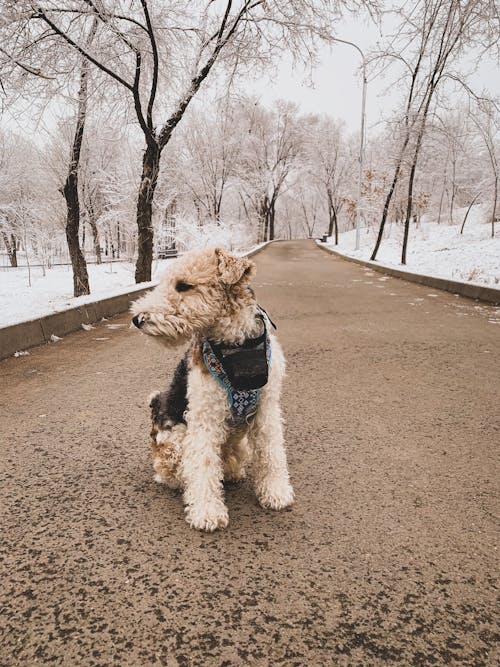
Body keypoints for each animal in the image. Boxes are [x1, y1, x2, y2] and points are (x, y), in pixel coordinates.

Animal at [131, 247, 294, 532]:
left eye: (184, 285)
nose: (137, 318)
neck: (236, 344)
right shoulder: (205, 416)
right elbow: (203, 465)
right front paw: (207, 513)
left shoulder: (267, 409)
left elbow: (272, 453)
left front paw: (275, 493)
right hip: (174, 441)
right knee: (173, 472)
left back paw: (232, 471)